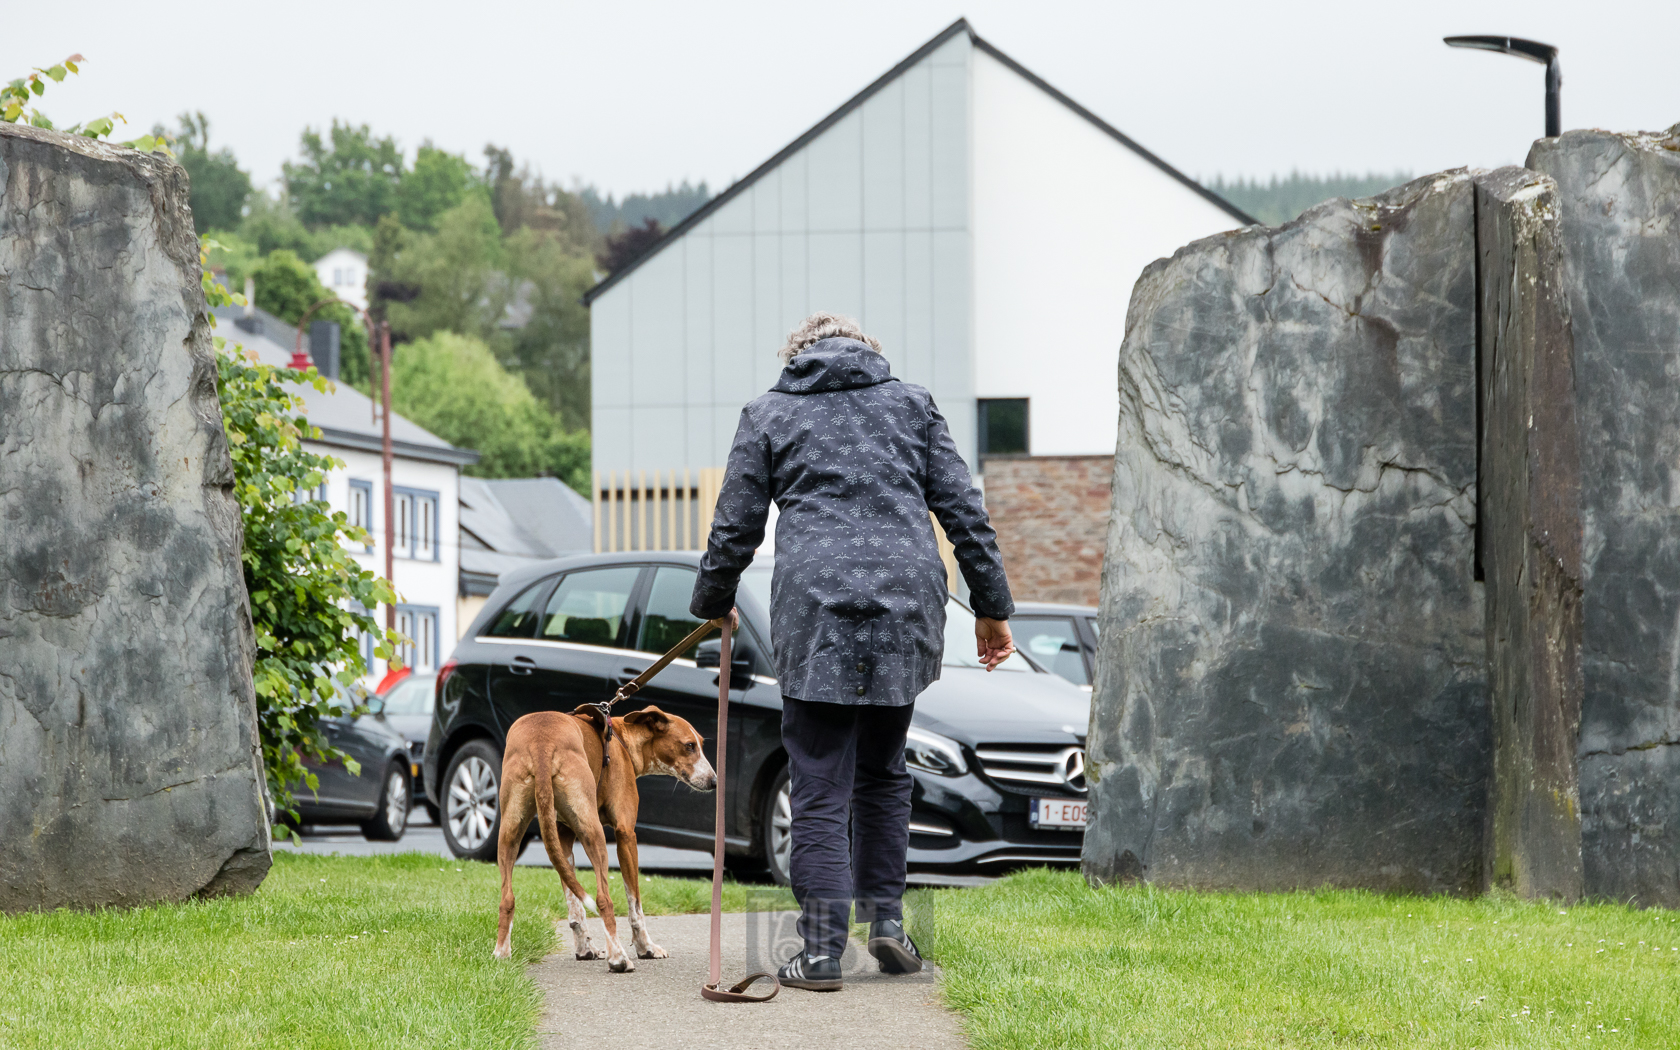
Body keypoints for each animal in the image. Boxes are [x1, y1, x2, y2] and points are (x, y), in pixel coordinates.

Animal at [490, 705, 715, 967]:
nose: (714, 781)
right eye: (689, 746)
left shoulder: (562, 838)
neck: (623, 741)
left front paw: (584, 949)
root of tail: (541, 743)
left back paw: (501, 954)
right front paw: (646, 947)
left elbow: (575, 906)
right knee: (603, 900)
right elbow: (635, 905)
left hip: (510, 834)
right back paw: (618, 958)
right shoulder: (626, 835)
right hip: (594, 834)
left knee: (507, 899)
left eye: (700, 743)